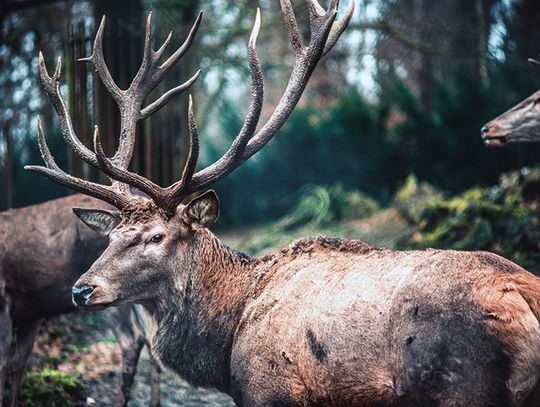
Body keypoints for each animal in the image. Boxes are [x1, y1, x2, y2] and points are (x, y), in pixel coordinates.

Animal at [0, 194, 160, 407]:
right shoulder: (31, 315)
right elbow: (17, 363)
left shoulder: (3, 301)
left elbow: (3, 363)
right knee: (152, 341)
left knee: (132, 340)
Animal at [26, 0, 540, 406]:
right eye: (111, 235)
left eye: (156, 236)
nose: (81, 290)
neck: (226, 341)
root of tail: (525, 295)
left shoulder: (269, 388)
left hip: (462, 385)